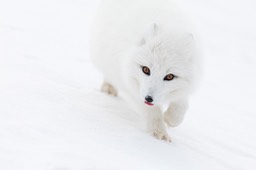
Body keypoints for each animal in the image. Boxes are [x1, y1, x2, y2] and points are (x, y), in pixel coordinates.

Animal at [89, 0, 199, 142]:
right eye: (146, 69)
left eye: (169, 76)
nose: (149, 98)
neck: (170, 31)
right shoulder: (133, 87)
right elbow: (153, 113)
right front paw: (160, 133)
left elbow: (181, 105)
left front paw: (171, 119)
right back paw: (109, 87)